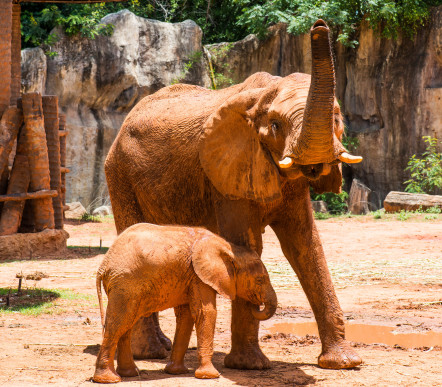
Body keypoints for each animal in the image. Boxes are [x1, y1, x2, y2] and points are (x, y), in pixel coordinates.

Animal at [93, 223, 276, 384]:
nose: (255, 303)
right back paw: (109, 380)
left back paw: (129, 374)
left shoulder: (190, 277)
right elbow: (206, 313)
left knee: (126, 324)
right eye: (260, 280)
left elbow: (186, 316)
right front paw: (210, 376)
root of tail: (103, 266)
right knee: (118, 323)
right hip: (125, 284)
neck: (228, 248)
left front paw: (177, 372)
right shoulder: (199, 276)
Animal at [106, 19, 362, 372]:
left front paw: (344, 363)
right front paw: (249, 366)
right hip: (120, 173)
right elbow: (247, 243)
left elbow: (305, 245)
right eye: (276, 125)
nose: (319, 26)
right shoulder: (226, 172)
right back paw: (153, 353)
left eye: (337, 118)